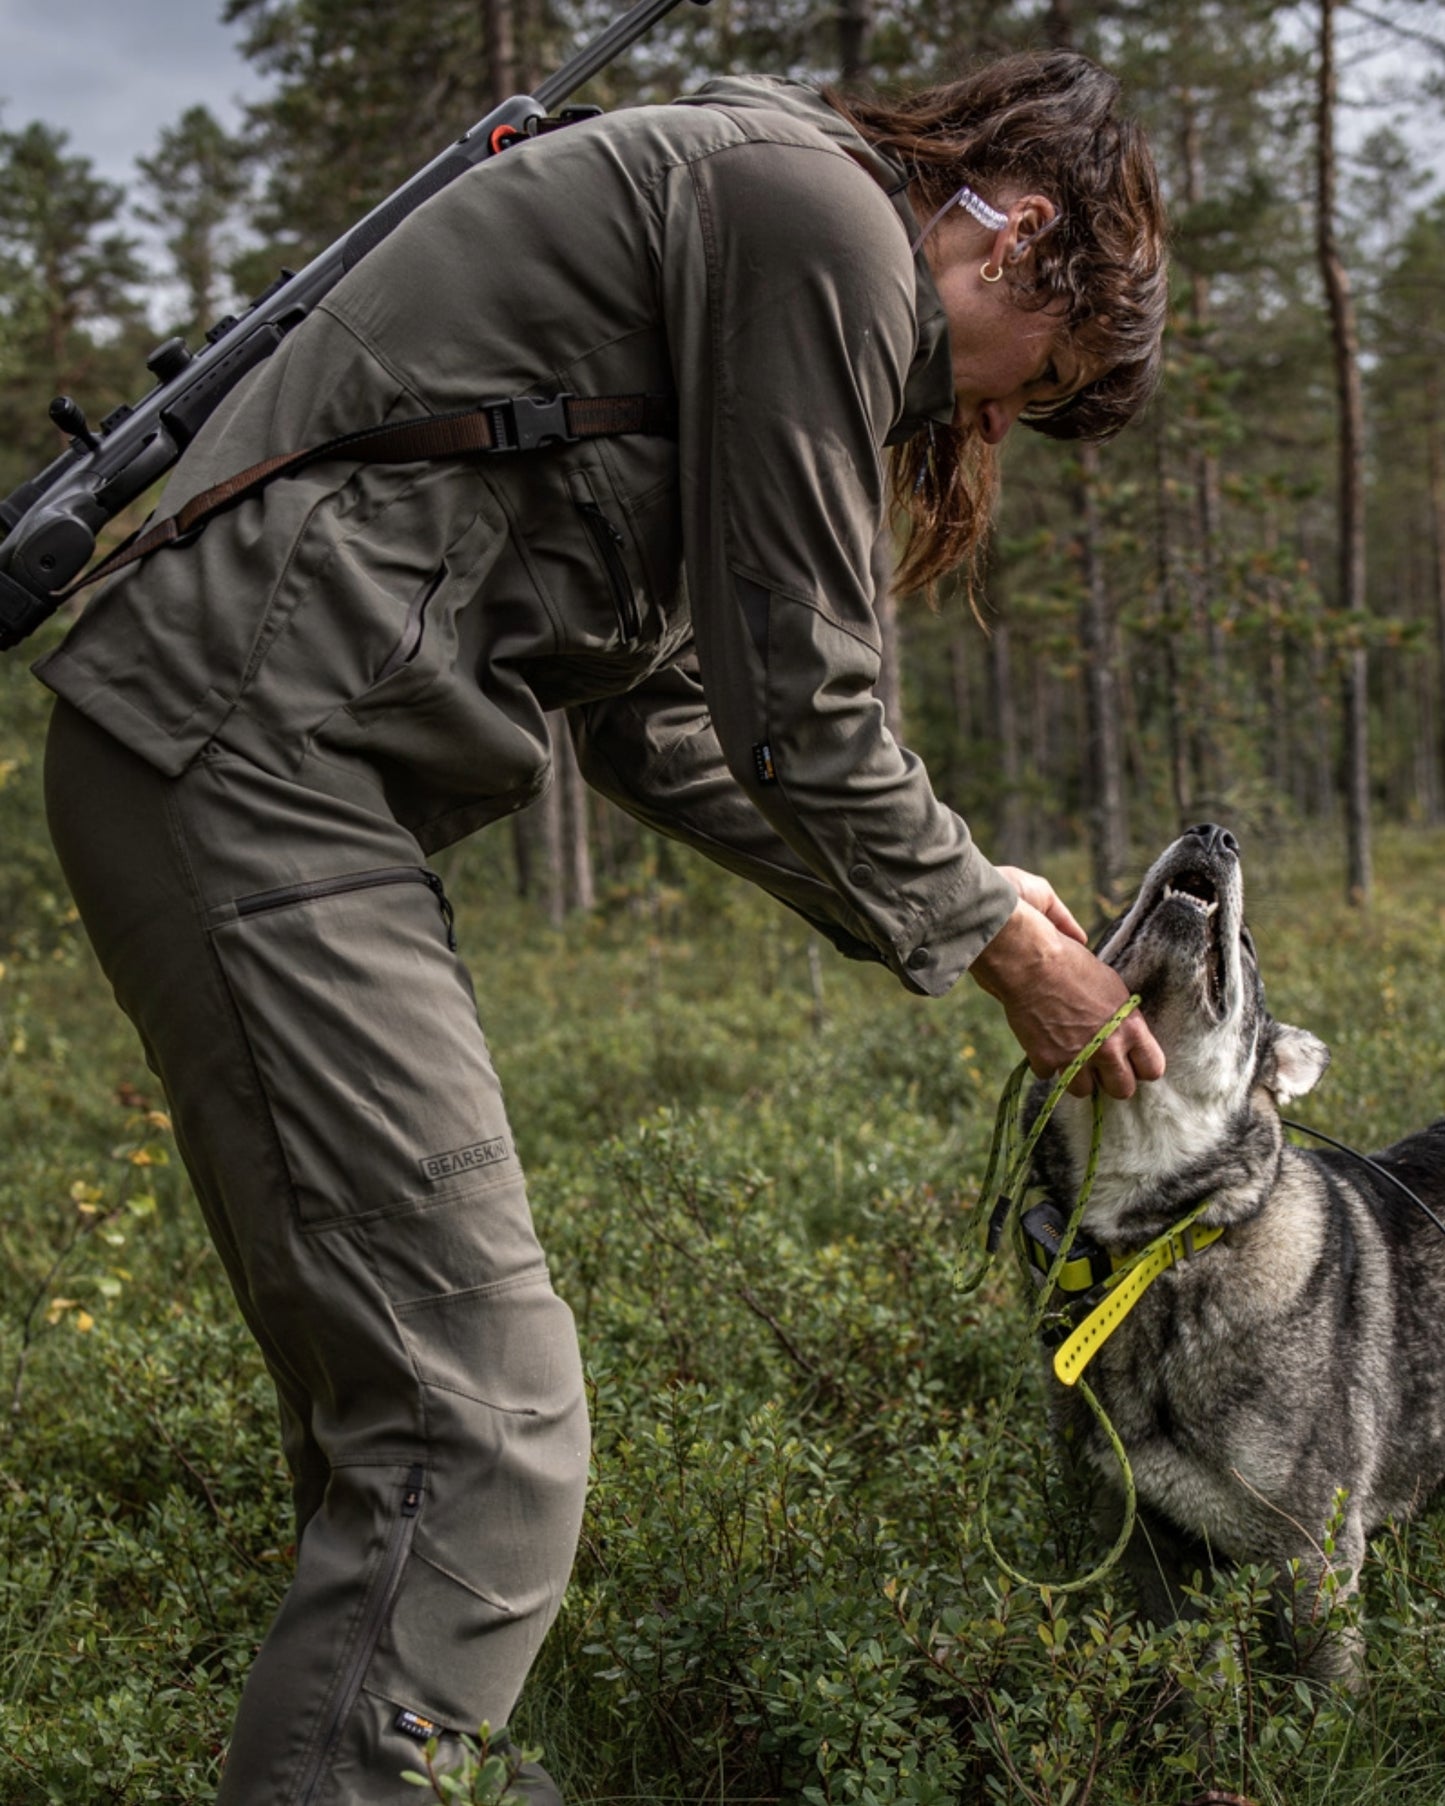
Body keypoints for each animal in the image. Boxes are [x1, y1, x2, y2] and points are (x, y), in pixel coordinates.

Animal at [1025, 827, 1445, 1683]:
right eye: (1106, 916)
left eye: (1245, 946)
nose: (1212, 833)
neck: (1156, 1249)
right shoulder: (1152, 1551)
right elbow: (1198, 1693)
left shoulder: (1313, 1553)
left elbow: (1327, 1698)